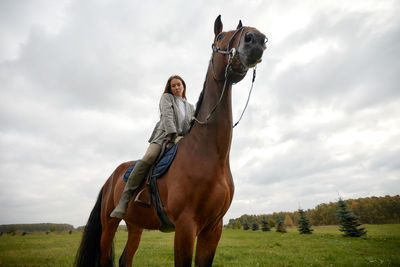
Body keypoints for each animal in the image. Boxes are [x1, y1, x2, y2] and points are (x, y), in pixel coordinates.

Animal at [76, 15, 268, 267]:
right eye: (219, 36)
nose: (255, 38)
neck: (208, 154)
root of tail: (111, 178)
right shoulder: (186, 227)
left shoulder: (213, 229)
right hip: (109, 225)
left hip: (135, 227)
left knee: (125, 259)